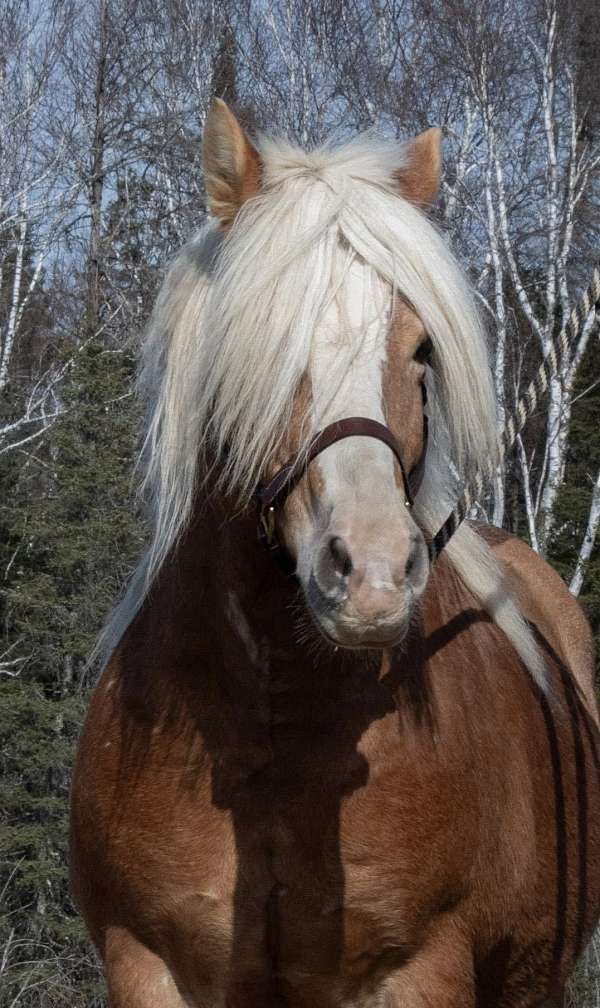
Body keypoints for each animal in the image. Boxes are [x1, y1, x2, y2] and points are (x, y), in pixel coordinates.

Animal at [71, 99, 600, 1007]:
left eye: (420, 349)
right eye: (256, 343)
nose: (374, 574)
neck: (272, 730)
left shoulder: (421, 972)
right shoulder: (147, 965)